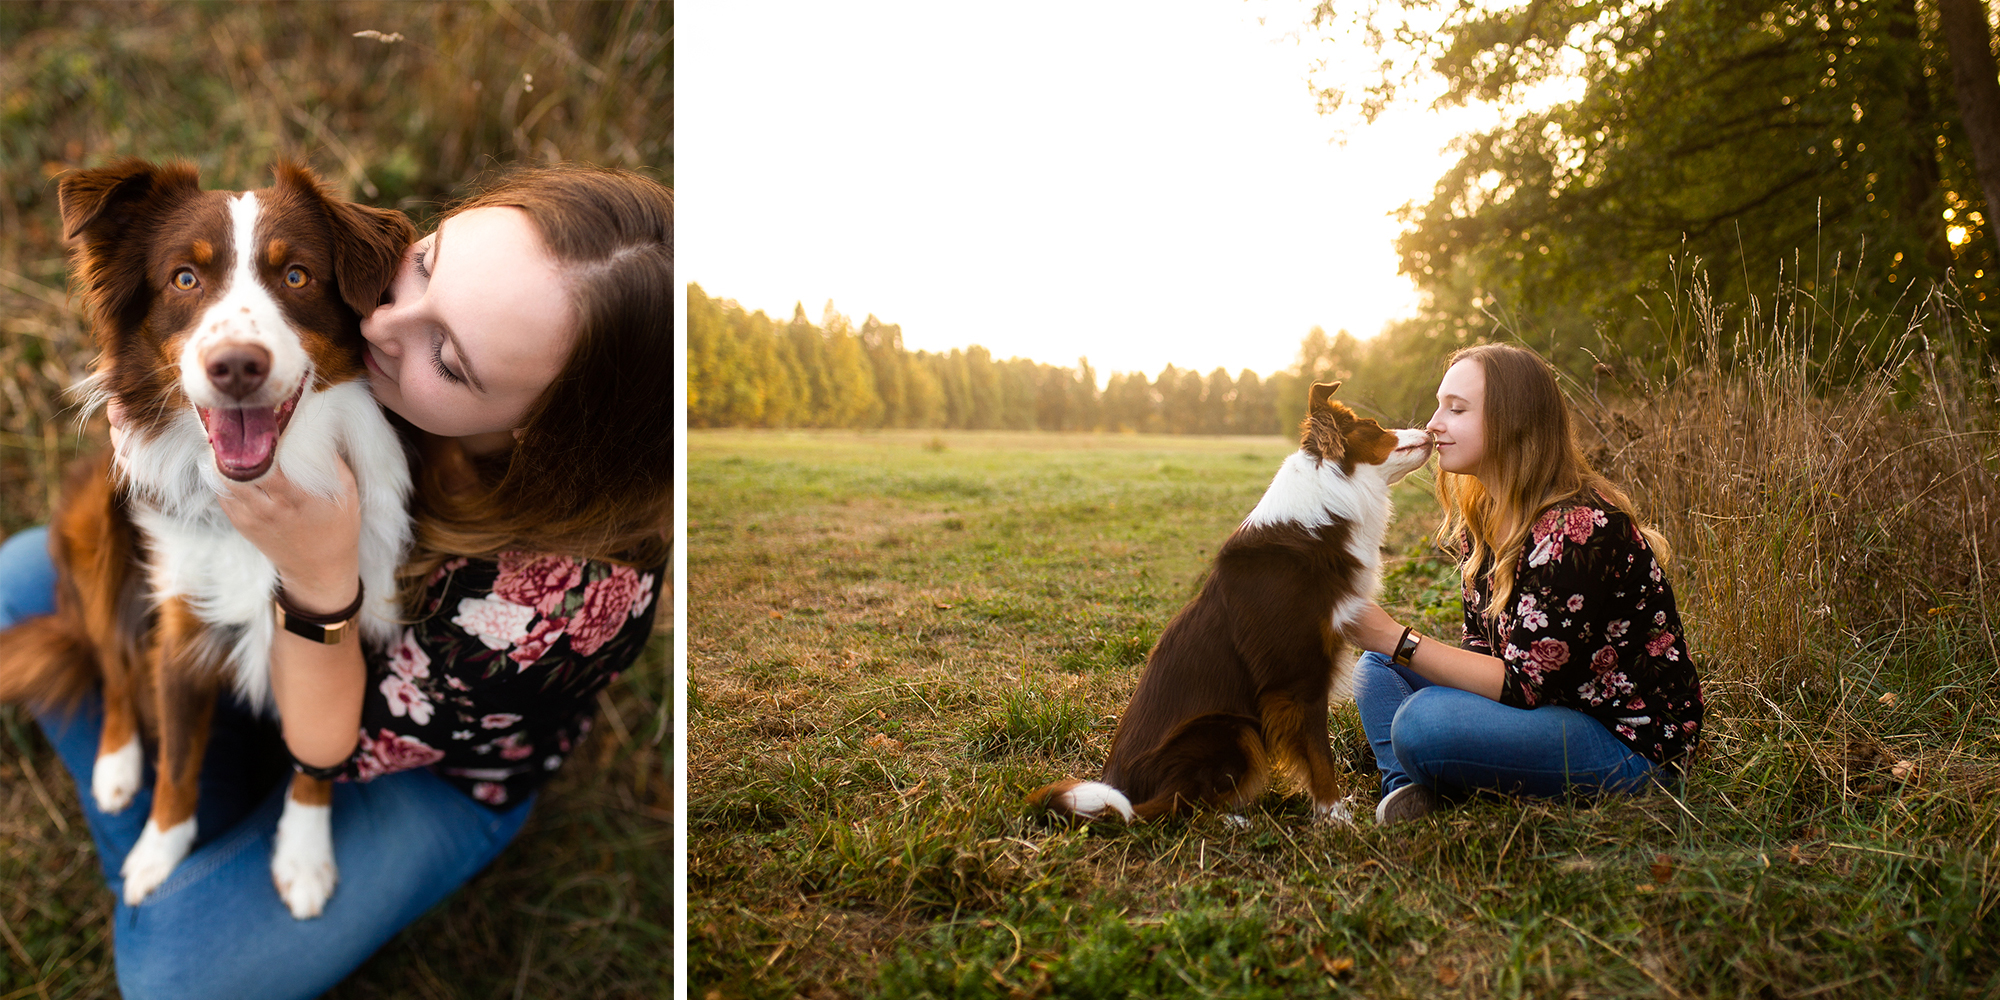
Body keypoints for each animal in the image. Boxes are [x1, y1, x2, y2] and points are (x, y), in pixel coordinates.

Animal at [0, 160, 416, 916]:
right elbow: (175, 763)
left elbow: (319, 755)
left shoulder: (368, 619)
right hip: (91, 520)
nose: (237, 366)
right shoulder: (183, 630)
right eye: (185, 278)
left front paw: (304, 856)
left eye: (297, 276)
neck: (264, 494)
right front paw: (156, 853)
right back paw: (115, 766)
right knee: (112, 660)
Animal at [1032, 382, 1440, 820]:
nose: (1430, 430)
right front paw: (1336, 816)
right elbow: (1319, 758)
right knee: (1178, 804)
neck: (1327, 505)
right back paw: (1233, 819)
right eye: (1374, 426)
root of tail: (1125, 788)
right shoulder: (1298, 679)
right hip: (1232, 730)